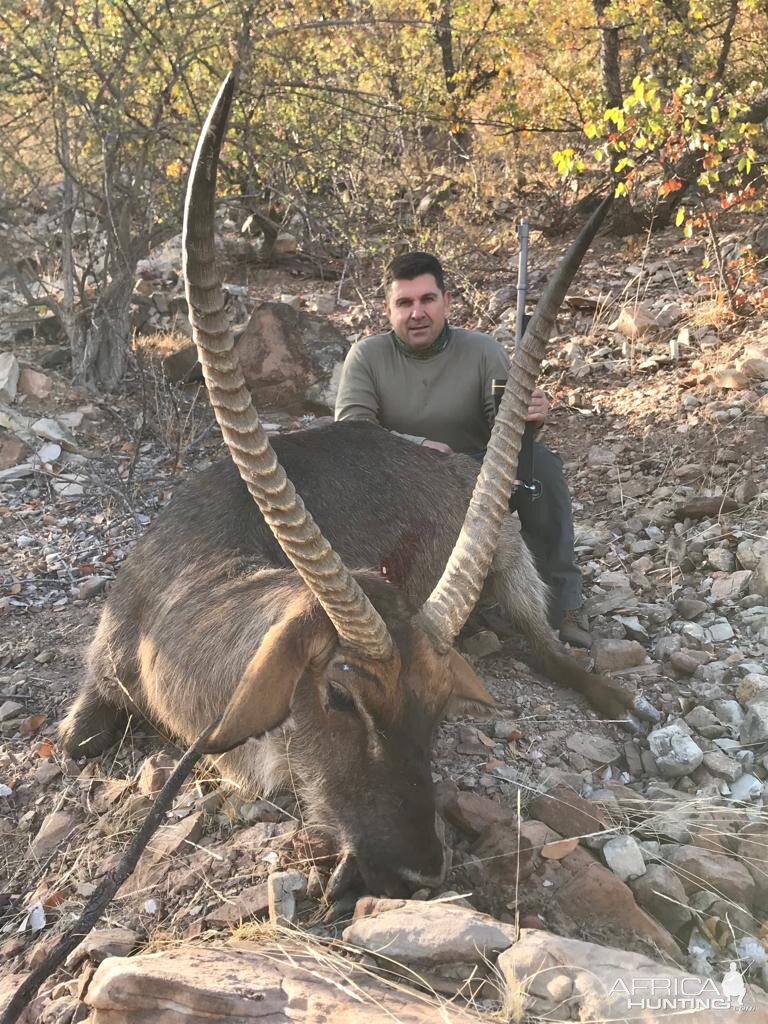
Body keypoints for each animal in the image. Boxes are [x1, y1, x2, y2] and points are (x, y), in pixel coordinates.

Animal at [58, 74, 655, 897]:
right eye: (339, 694)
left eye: (439, 706)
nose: (419, 872)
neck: (176, 594)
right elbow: (79, 741)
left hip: (511, 564)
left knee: (548, 644)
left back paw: (620, 703)